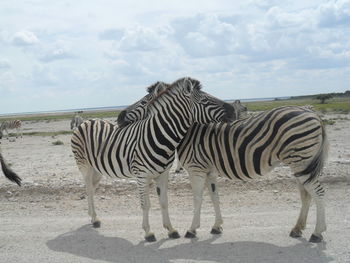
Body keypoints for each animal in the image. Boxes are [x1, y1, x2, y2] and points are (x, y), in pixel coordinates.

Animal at [70, 77, 235, 242]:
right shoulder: (141, 175)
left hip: (97, 169)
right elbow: (145, 204)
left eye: (144, 101)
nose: (233, 110)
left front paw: (171, 230)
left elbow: (164, 202)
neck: (159, 137)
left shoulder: (163, 174)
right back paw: (95, 219)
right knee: (88, 188)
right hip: (84, 166)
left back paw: (93, 217)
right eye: (205, 100)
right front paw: (148, 233)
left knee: (92, 189)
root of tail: (87, 121)